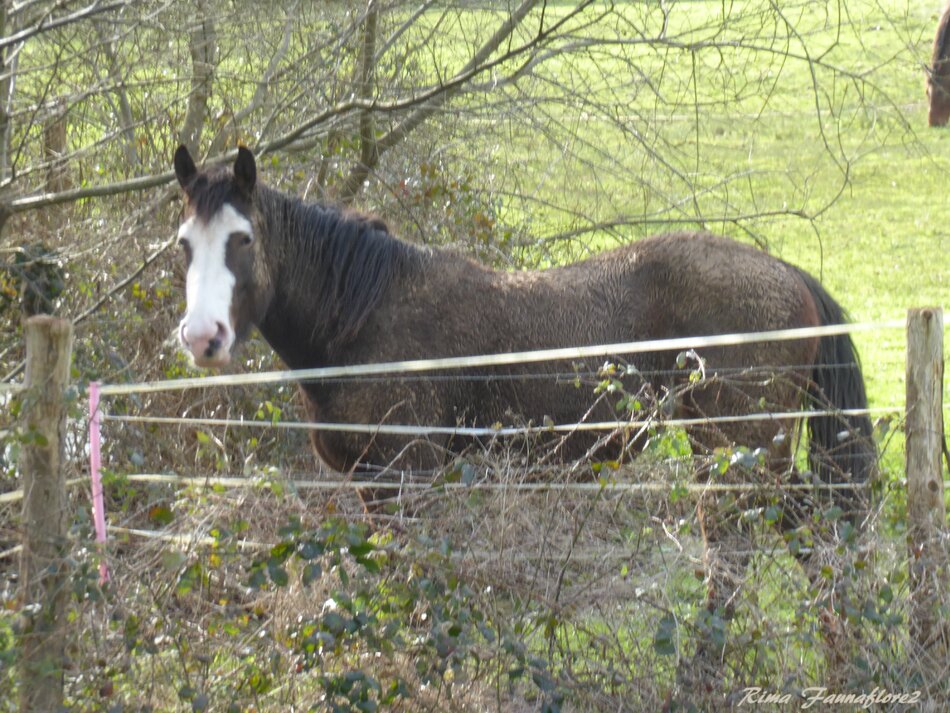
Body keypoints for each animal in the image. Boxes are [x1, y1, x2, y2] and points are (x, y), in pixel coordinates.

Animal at [173, 142, 876, 680]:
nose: (203, 337)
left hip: (736, 456)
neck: (363, 317)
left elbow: (414, 584)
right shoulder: (373, 486)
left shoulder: (407, 476)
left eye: (242, 239)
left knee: (745, 555)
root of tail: (785, 270)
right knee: (811, 539)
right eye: (184, 245)